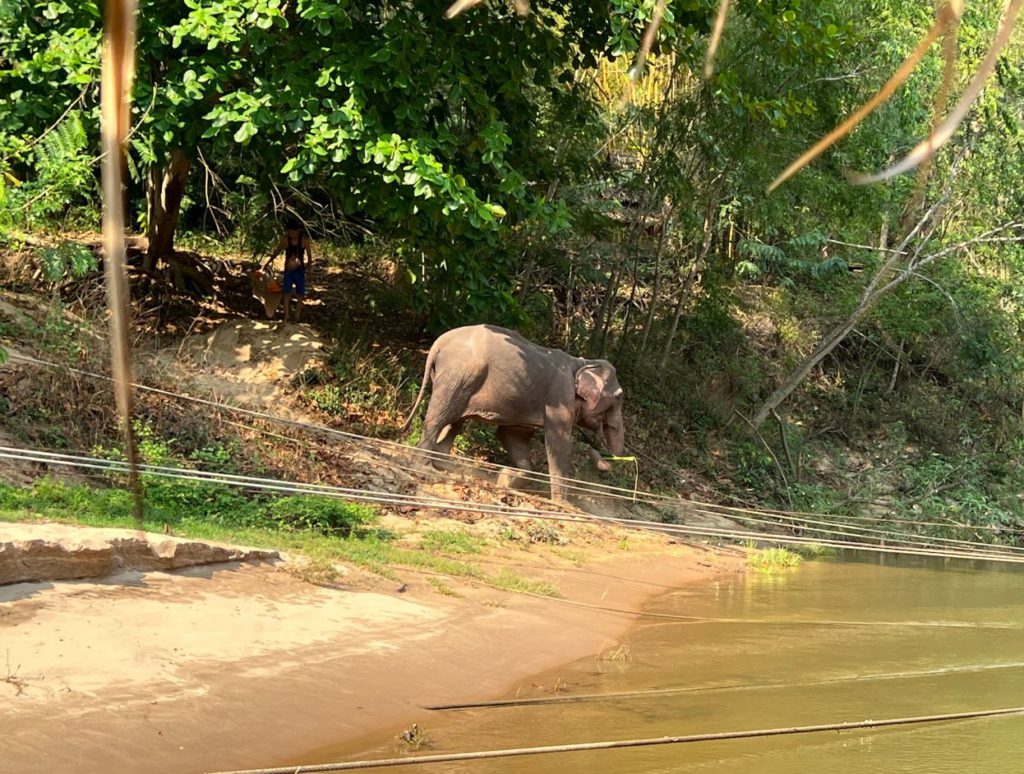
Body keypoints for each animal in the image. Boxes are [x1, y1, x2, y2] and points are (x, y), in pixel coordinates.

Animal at [399, 321, 622, 499]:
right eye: (619, 396)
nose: (594, 449)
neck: (583, 362)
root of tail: (439, 342)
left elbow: (513, 436)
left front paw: (505, 480)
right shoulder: (559, 397)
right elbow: (558, 442)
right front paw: (563, 504)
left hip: (460, 378)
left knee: (455, 420)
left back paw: (445, 465)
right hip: (459, 374)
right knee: (439, 417)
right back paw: (425, 468)